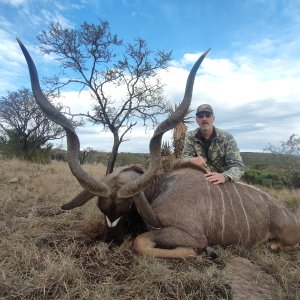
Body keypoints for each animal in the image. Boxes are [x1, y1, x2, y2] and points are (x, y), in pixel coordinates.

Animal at [17, 38, 298, 258]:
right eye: (101, 208)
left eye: (128, 208)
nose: (111, 240)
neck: (160, 188)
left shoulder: (187, 233)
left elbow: (142, 243)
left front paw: (204, 252)